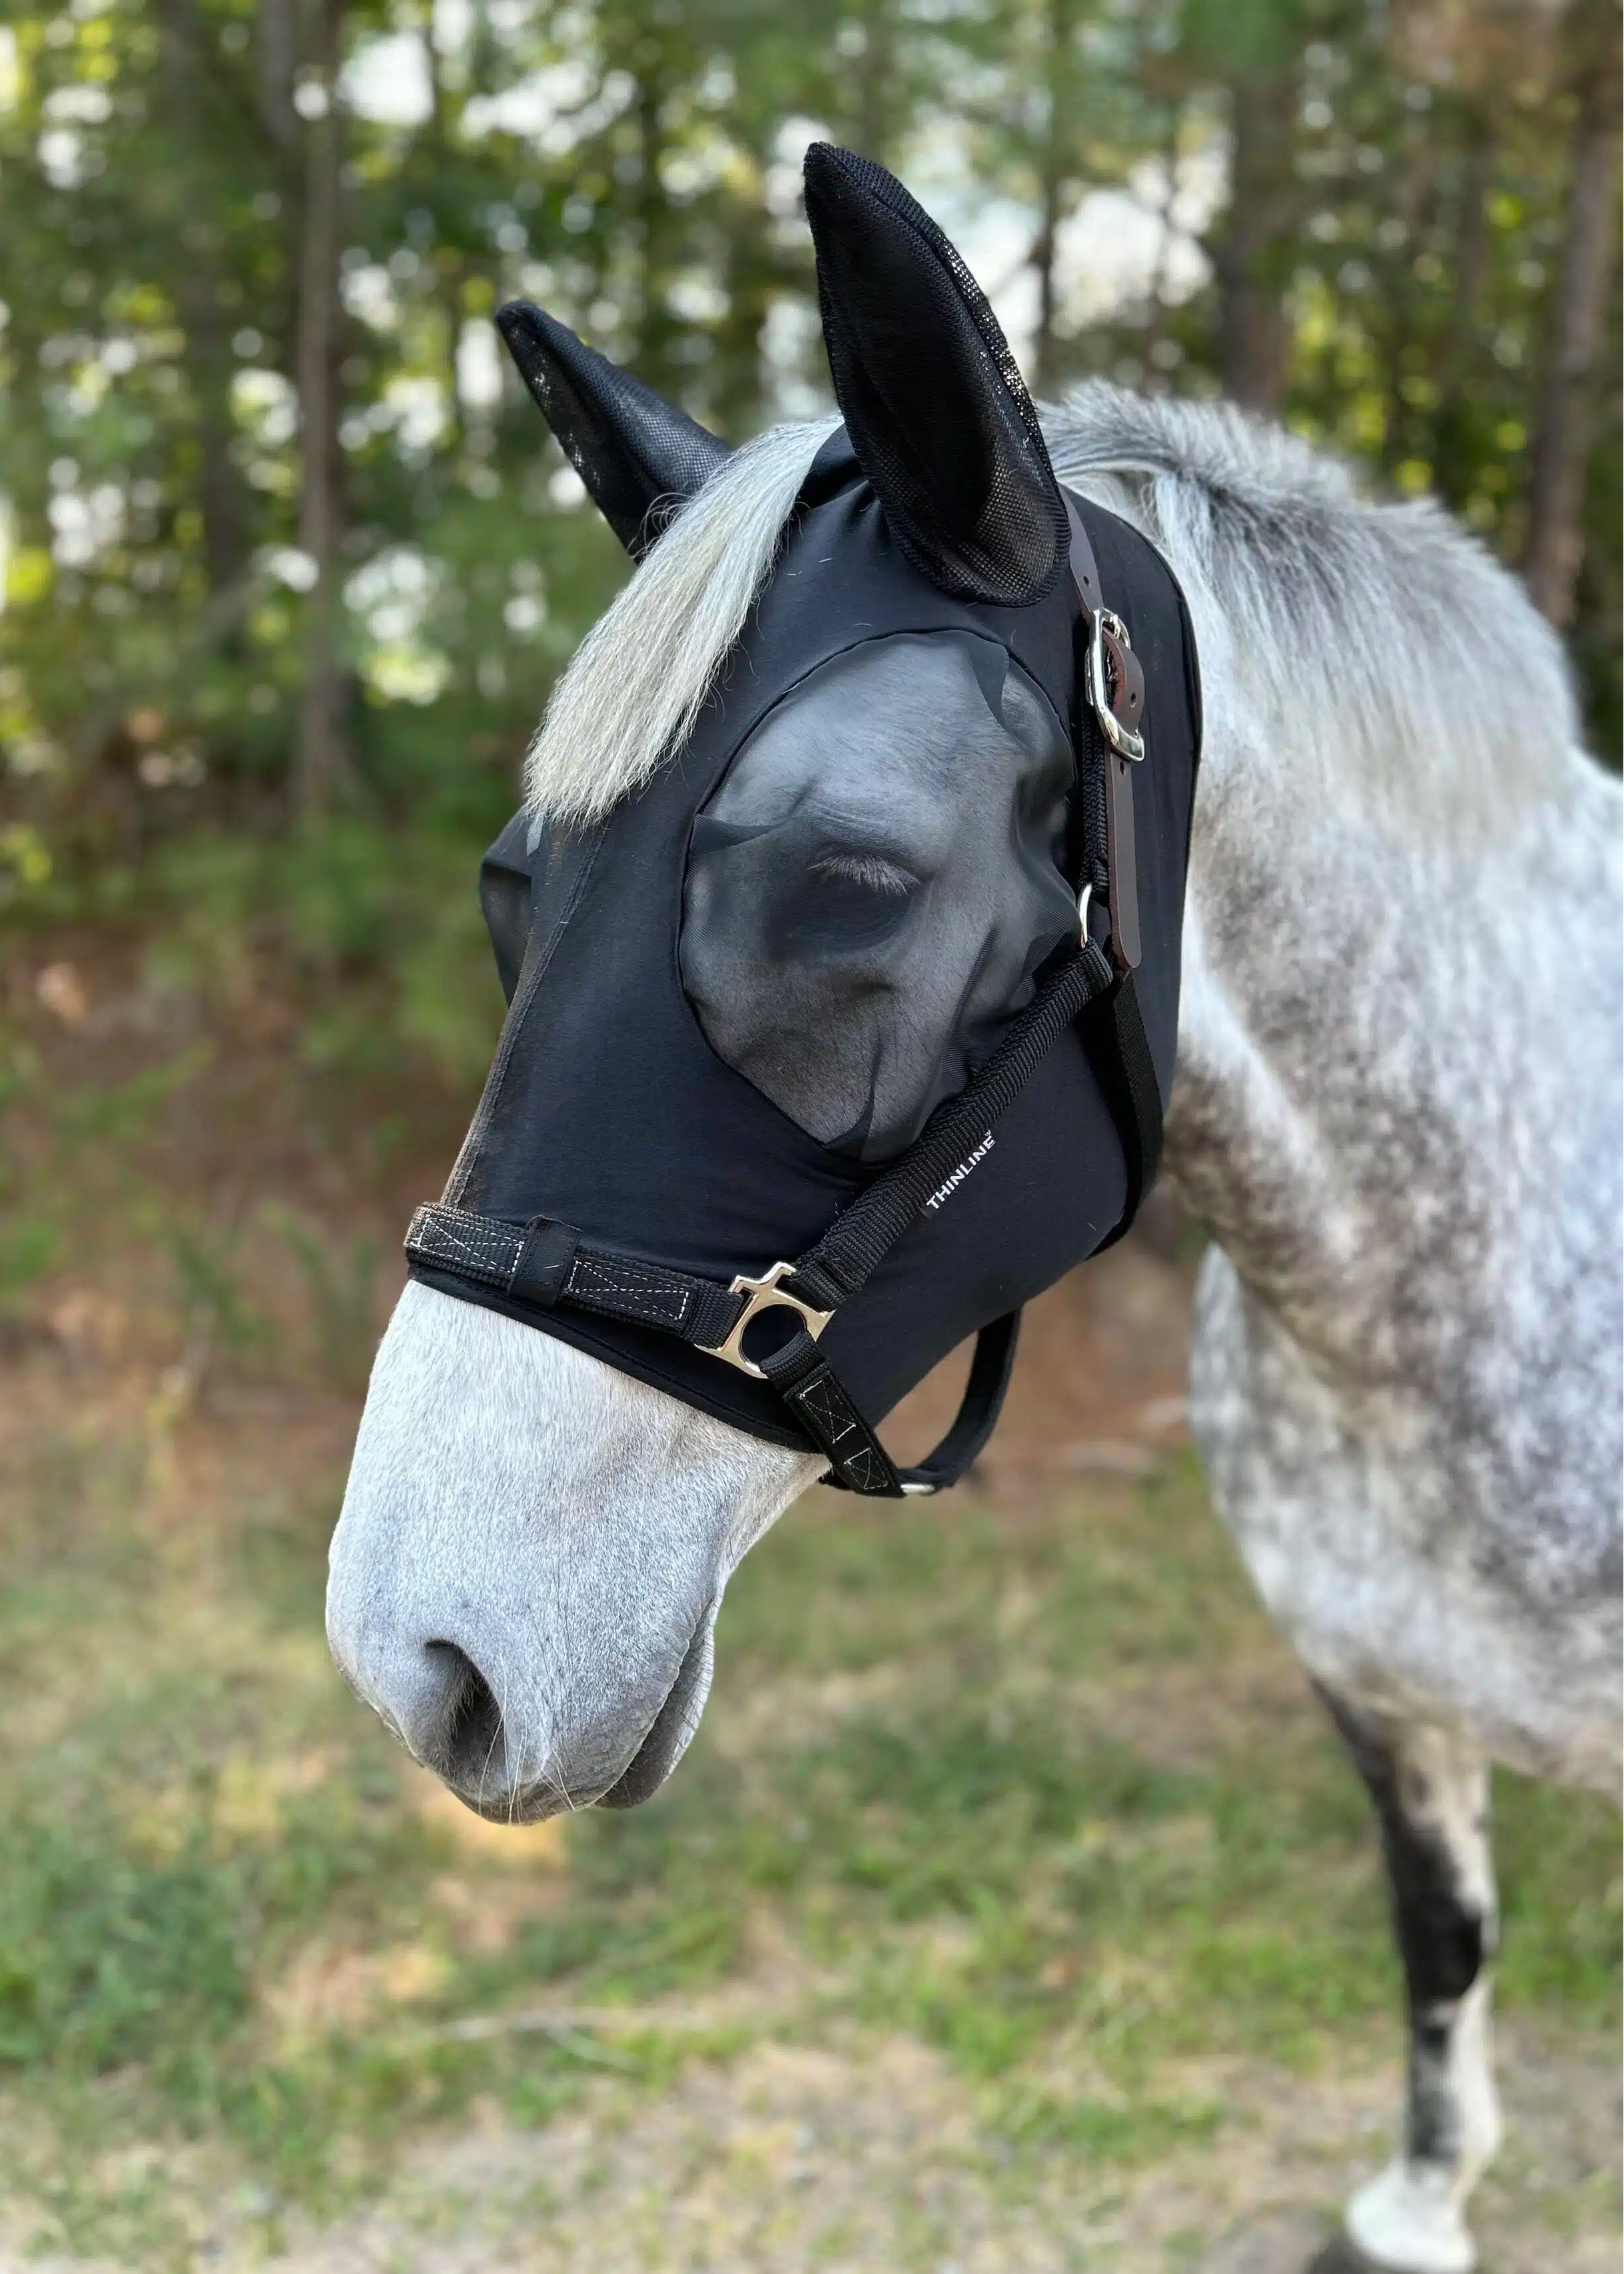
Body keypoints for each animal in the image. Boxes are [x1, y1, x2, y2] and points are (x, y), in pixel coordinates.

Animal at [327, 147, 1623, 2274]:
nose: (421, 1650)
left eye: (853, 882)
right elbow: (1440, 1935)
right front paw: (1421, 2197)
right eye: (516, 883)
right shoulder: (1379, 1694)